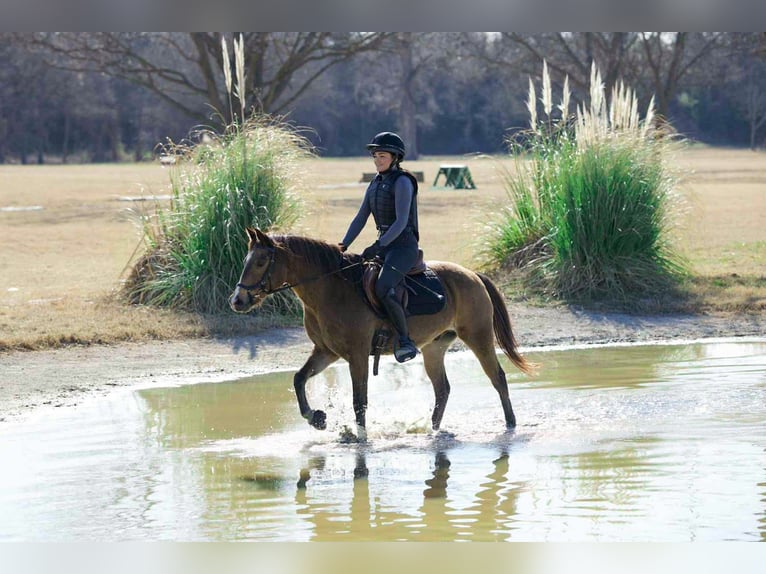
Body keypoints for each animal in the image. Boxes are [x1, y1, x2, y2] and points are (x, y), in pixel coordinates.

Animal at [229, 227, 536, 440]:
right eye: (246, 260)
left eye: (260, 262)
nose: (237, 301)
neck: (329, 290)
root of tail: (473, 275)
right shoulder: (326, 352)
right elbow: (299, 379)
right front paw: (316, 418)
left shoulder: (357, 355)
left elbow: (359, 400)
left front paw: (360, 439)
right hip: (434, 348)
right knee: (443, 389)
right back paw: (433, 430)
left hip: (478, 337)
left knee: (498, 378)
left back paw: (510, 426)